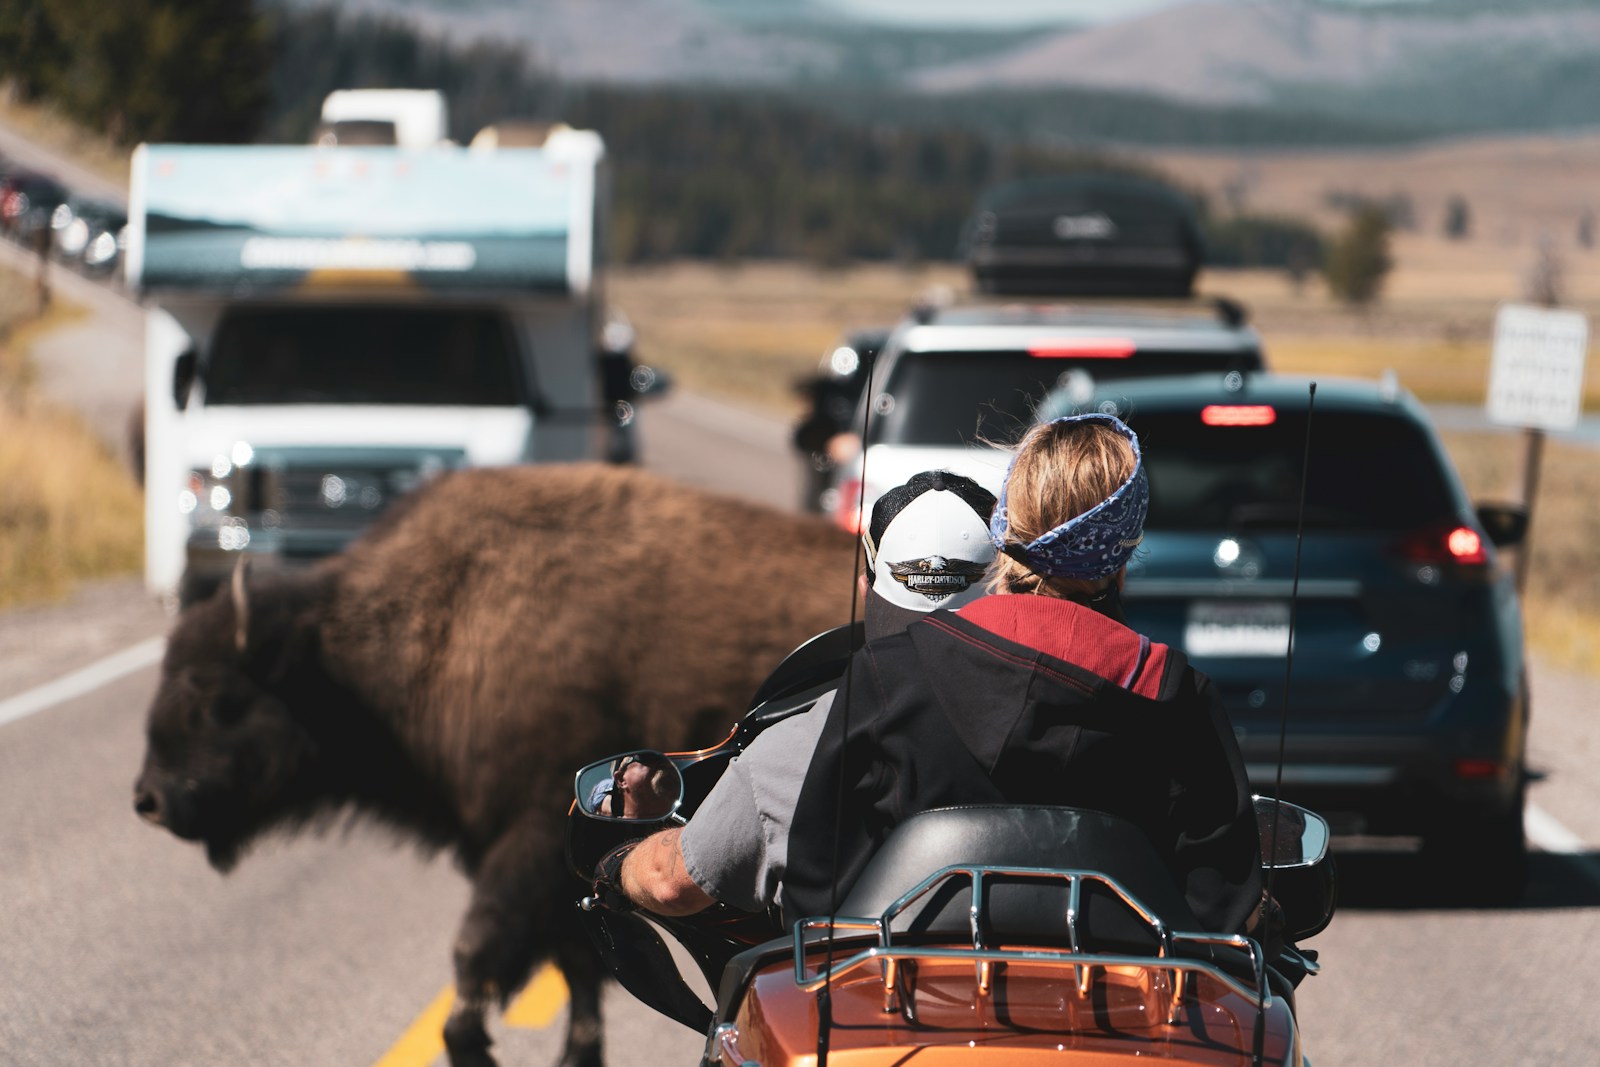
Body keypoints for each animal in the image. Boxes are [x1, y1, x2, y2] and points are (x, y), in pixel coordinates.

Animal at [133, 463, 856, 1067]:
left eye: (219, 697)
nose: (150, 799)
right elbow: (576, 965)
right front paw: (574, 1056)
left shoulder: (531, 838)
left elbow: (480, 950)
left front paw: (473, 1044)